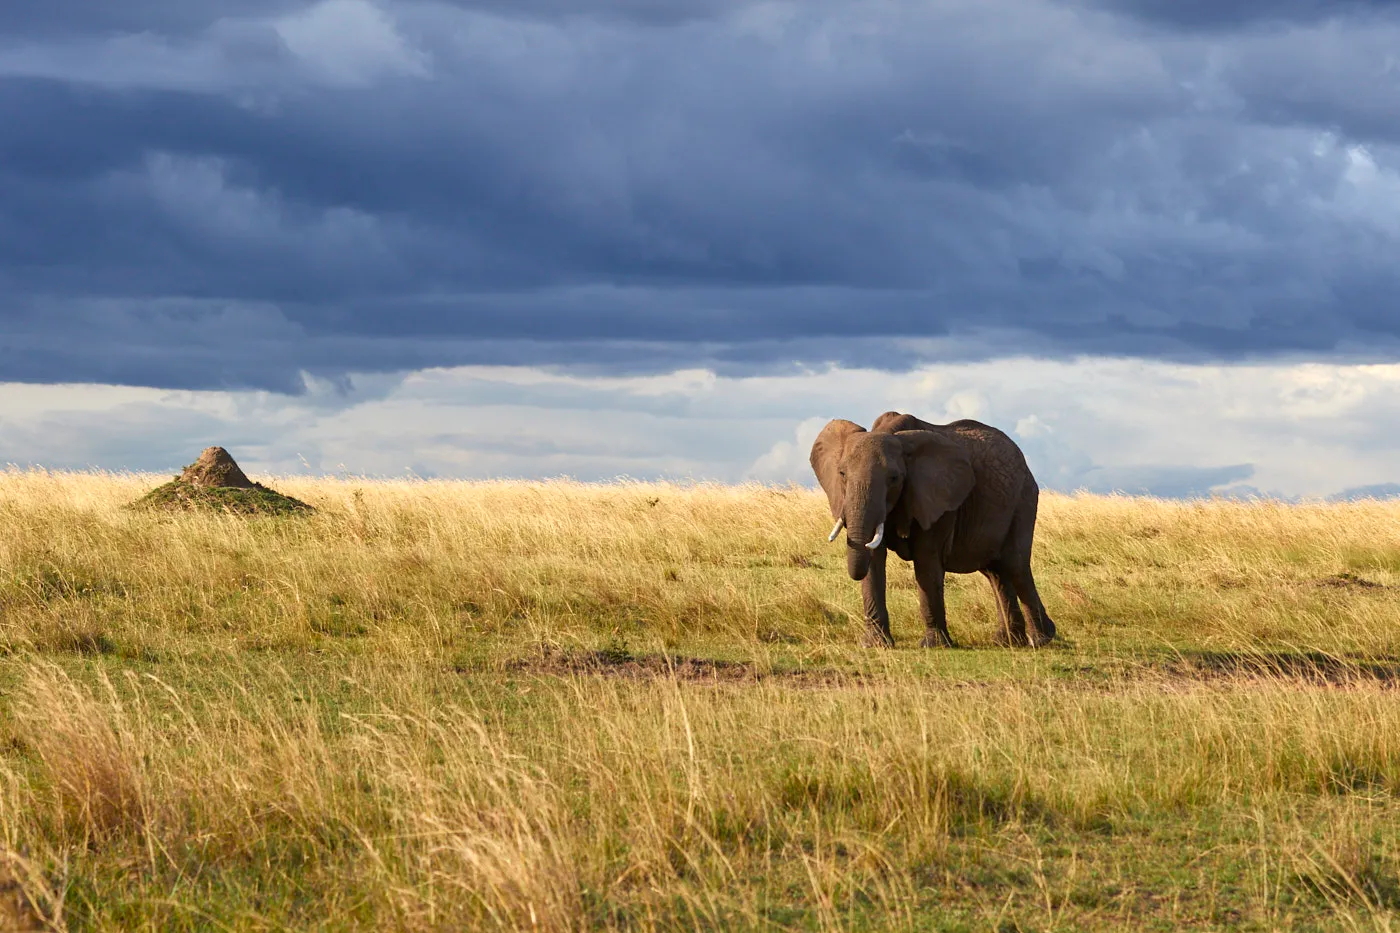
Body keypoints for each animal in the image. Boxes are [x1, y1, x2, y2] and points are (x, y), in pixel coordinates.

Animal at [808, 410, 1056, 648]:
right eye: (842, 474)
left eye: (894, 478)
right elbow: (874, 561)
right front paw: (874, 645)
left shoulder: (939, 500)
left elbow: (926, 562)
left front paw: (934, 645)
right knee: (995, 572)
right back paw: (1007, 642)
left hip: (1023, 499)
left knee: (1015, 565)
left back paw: (1041, 640)